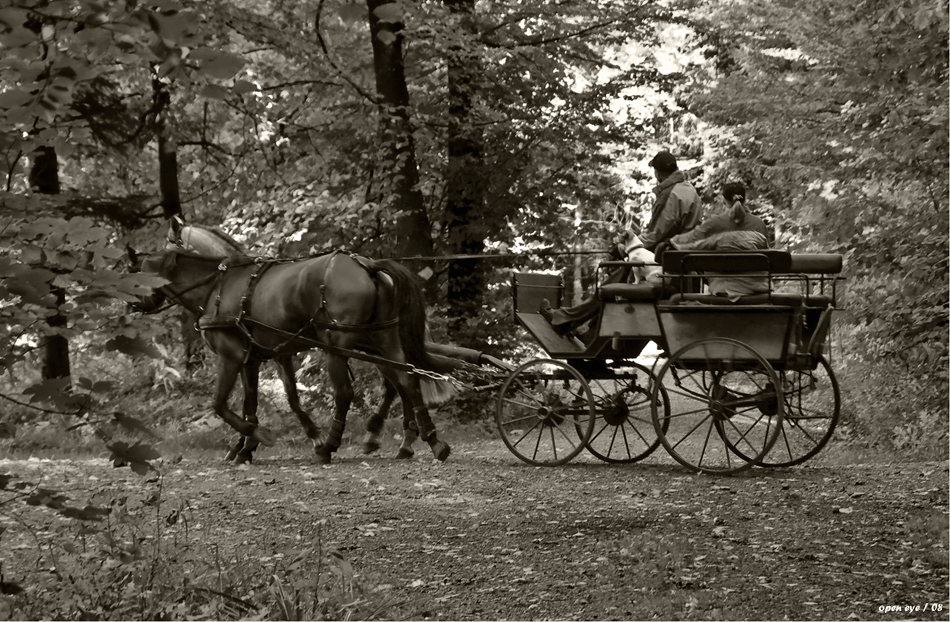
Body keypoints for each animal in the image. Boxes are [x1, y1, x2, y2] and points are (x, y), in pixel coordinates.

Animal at [129, 251, 454, 466]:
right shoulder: (258, 358)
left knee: (347, 392)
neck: (219, 288)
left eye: (135, 276)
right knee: (406, 381)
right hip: (383, 339)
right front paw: (244, 448)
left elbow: (220, 405)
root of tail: (367, 266)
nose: (133, 304)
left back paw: (332, 444)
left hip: (337, 345)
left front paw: (259, 437)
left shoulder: (231, 357)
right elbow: (257, 404)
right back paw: (430, 440)